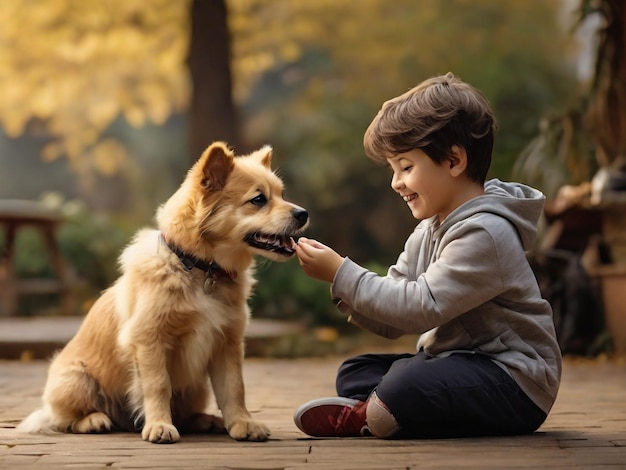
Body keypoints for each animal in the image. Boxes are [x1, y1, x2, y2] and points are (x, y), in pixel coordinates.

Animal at [18, 141, 310, 442]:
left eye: (281, 194)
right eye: (258, 200)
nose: (303, 214)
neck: (200, 268)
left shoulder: (227, 344)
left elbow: (234, 388)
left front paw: (242, 423)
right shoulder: (150, 340)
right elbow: (159, 386)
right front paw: (159, 425)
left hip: (197, 387)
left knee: (186, 412)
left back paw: (205, 420)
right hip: (77, 380)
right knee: (64, 419)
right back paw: (94, 420)